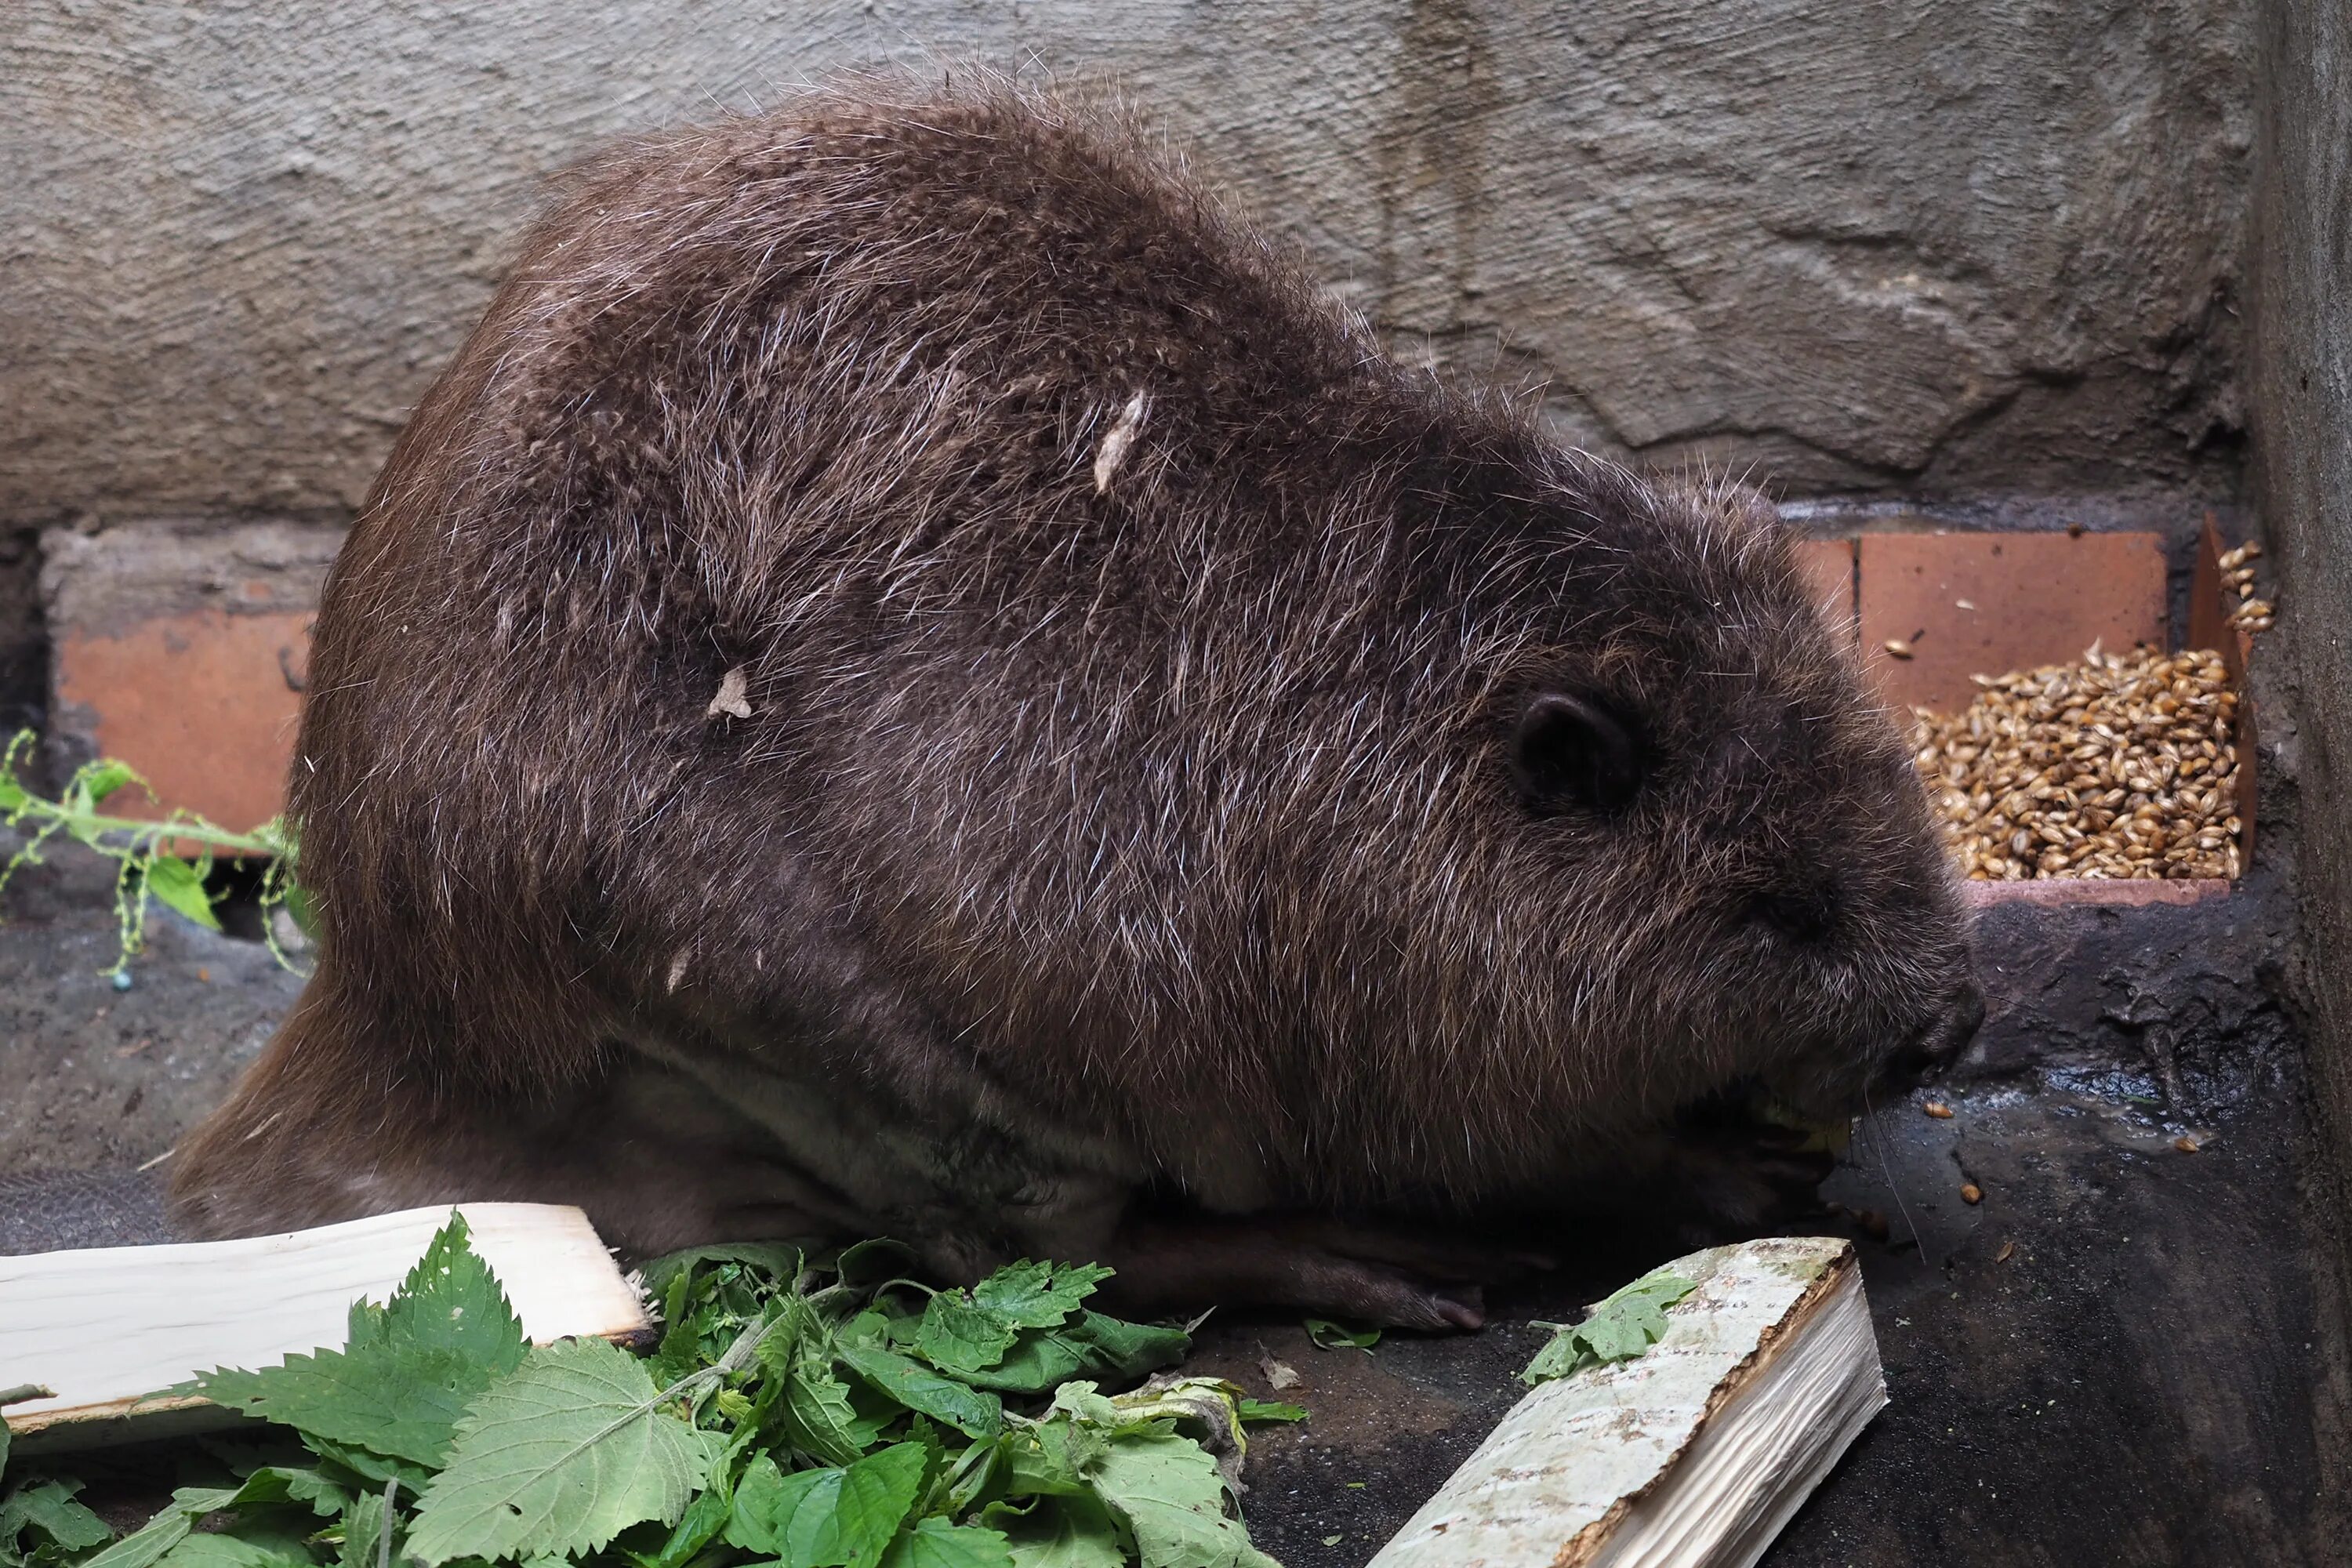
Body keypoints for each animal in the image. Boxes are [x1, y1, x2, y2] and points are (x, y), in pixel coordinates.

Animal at [165, 73, 1976, 1326]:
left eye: (1905, 818)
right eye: (1786, 913)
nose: (1941, 1028)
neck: (1393, 669)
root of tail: (370, 1025)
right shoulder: (1378, 960)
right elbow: (1490, 1115)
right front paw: (1728, 1166)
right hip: (804, 1018)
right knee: (1040, 1248)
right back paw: (1370, 1262)